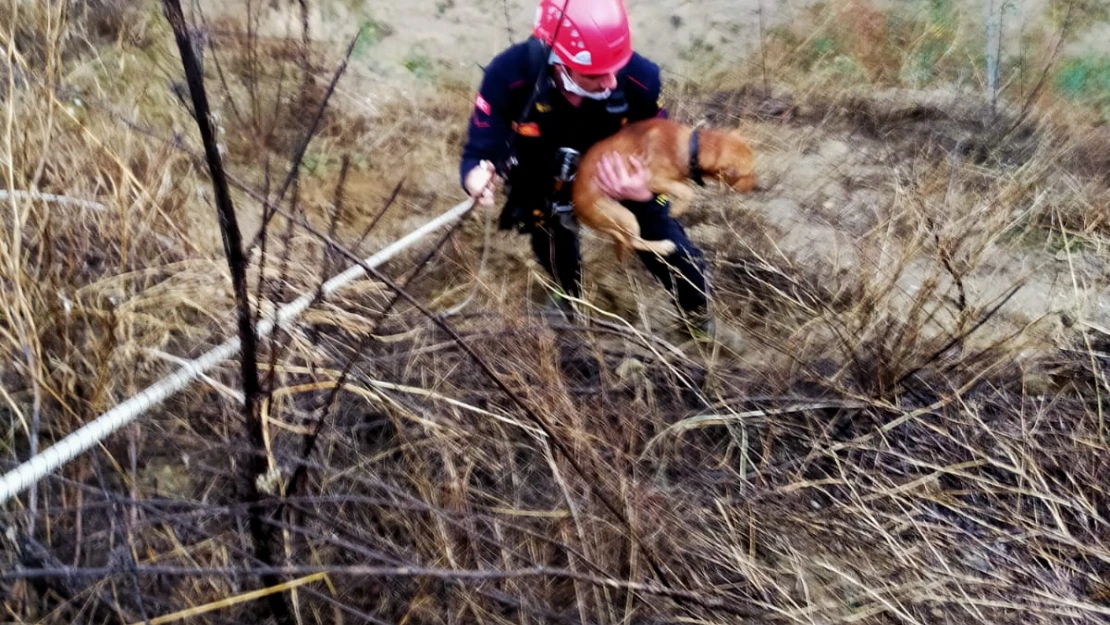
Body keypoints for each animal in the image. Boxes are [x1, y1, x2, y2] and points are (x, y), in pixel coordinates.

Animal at [572, 118, 754, 260]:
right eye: (748, 174)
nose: (754, 187)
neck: (691, 147)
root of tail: (577, 208)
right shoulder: (652, 179)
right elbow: (687, 192)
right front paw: (675, 210)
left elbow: (684, 188)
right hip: (624, 215)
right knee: (633, 242)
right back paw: (664, 246)